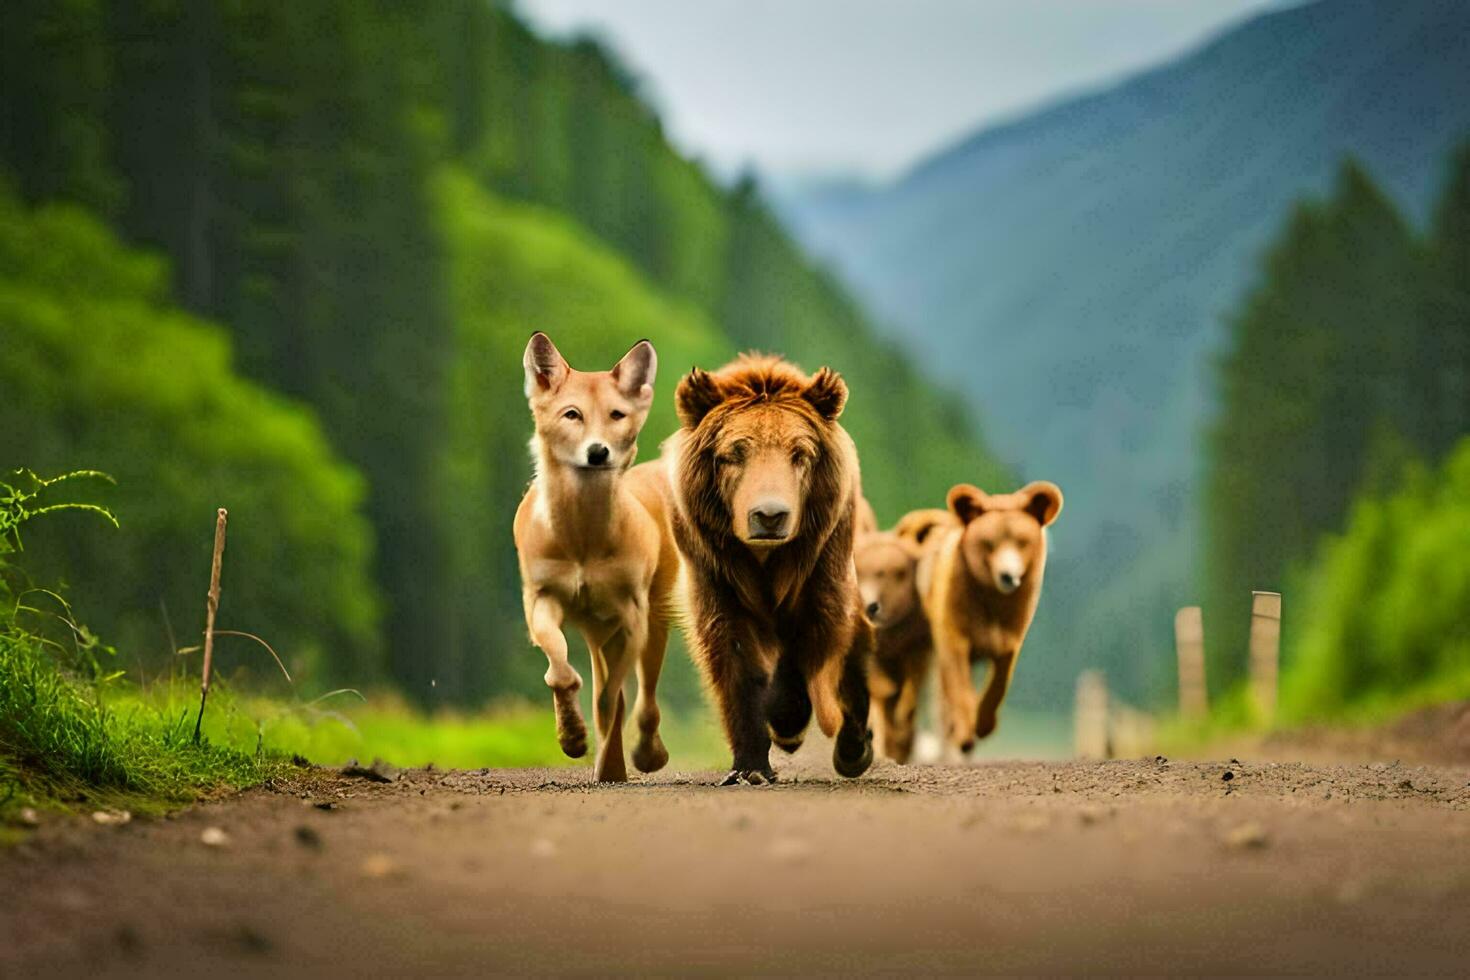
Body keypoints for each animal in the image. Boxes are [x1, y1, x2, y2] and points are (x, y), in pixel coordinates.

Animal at [514, 333, 679, 787]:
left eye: (617, 414)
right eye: (572, 414)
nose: (598, 452)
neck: (582, 541)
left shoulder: (632, 615)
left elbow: (611, 698)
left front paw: (613, 754)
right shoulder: (541, 597)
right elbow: (560, 671)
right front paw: (571, 737)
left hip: (653, 619)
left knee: (644, 696)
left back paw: (641, 755)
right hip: (595, 632)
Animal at [667, 357, 870, 787]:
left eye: (800, 453)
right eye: (733, 452)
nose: (770, 515)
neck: (764, 560)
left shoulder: (817, 565)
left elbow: (813, 633)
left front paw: (787, 721)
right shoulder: (715, 572)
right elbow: (733, 655)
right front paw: (750, 766)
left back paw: (852, 748)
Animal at [917, 481, 1058, 752]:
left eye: (1022, 542)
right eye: (988, 543)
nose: (1008, 575)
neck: (991, 598)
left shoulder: (1014, 621)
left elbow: (1001, 678)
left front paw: (984, 724)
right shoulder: (955, 614)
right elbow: (956, 673)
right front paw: (965, 732)